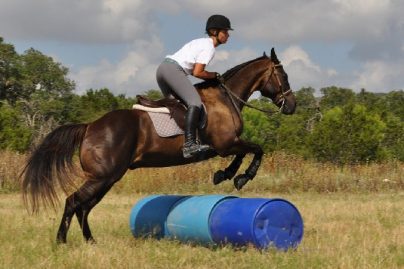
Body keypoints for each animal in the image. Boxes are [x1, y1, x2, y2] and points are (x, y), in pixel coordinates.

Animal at [20, 47, 296, 243]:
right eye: (284, 75)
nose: (291, 106)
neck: (225, 98)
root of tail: (89, 126)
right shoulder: (226, 144)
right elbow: (257, 149)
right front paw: (240, 177)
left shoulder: (227, 146)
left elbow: (245, 154)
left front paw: (226, 175)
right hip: (103, 176)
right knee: (73, 201)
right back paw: (61, 241)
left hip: (108, 178)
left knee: (84, 207)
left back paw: (90, 241)